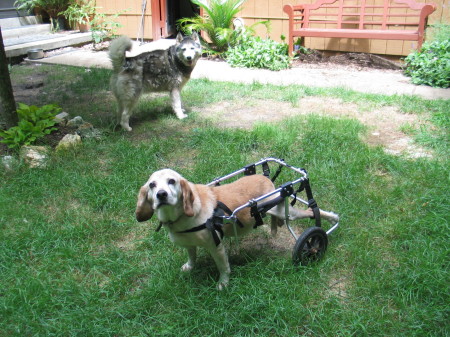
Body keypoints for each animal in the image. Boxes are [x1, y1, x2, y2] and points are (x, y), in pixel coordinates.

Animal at [135, 168, 340, 288]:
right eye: (152, 185)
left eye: (172, 181)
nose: (161, 194)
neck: (182, 217)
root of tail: (265, 177)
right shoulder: (189, 244)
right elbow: (192, 257)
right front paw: (190, 267)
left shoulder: (216, 247)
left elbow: (224, 268)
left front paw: (223, 284)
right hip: (275, 209)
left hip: (283, 210)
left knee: (311, 211)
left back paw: (331, 220)